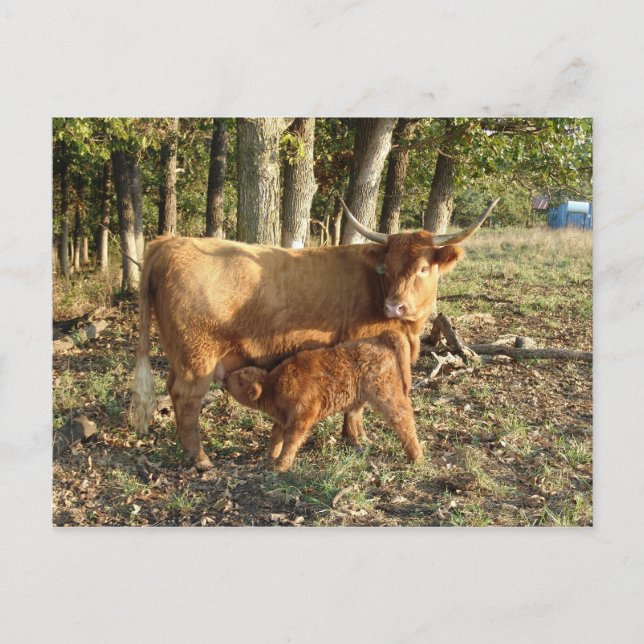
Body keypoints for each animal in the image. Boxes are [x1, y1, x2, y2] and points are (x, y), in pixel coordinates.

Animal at [224, 330, 420, 472]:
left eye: (240, 380)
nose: (226, 376)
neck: (273, 387)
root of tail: (380, 338)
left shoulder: (301, 418)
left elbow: (291, 440)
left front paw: (281, 466)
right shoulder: (282, 419)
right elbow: (276, 435)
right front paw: (271, 455)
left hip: (387, 395)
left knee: (403, 419)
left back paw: (416, 457)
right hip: (360, 398)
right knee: (355, 415)